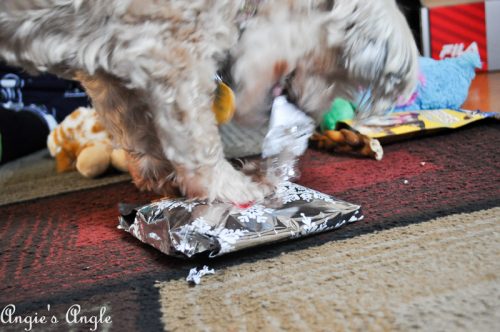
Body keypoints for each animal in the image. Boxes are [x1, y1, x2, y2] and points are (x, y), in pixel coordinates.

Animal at [0, 0, 418, 204]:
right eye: (340, 69)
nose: (310, 115)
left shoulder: (109, 67)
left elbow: (133, 124)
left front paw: (157, 176)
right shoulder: (174, 54)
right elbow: (196, 139)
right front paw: (228, 186)